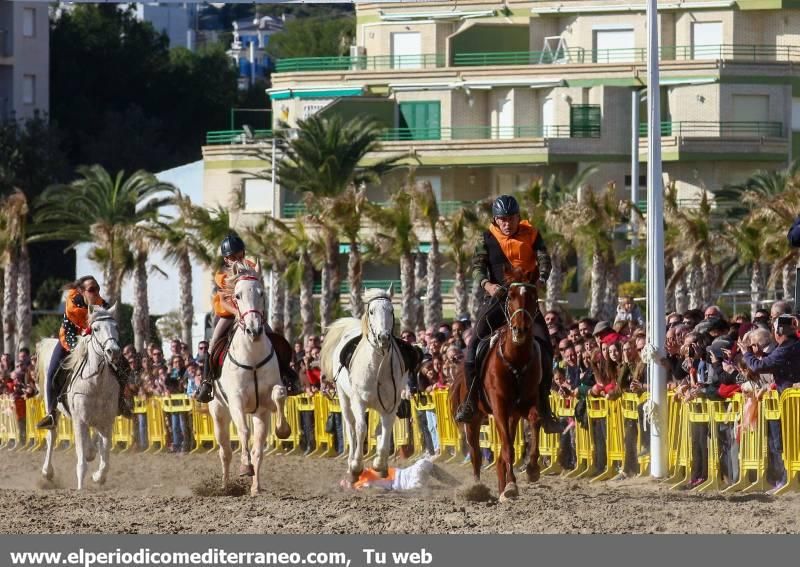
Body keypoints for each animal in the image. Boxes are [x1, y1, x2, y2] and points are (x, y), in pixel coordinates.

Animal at [37, 306, 122, 488]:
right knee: (52, 435)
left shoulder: (106, 422)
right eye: (96, 329)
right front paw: (80, 488)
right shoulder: (79, 421)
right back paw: (47, 472)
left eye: (116, 326)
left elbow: (105, 463)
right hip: (51, 408)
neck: (96, 383)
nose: (113, 351)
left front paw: (98, 477)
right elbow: (82, 463)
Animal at [208, 262, 292, 496]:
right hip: (219, 413)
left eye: (262, 293)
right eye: (237, 295)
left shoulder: (265, 404)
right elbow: (243, 431)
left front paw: (283, 429)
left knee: (257, 450)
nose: (254, 330)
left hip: (259, 415)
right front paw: (245, 468)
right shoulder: (236, 400)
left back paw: (255, 487)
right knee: (225, 451)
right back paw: (225, 486)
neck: (252, 354)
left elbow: (279, 394)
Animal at [318, 288, 410, 484]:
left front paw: (380, 465)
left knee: (377, 429)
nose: (383, 337)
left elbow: (386, 430)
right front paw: (356, 468)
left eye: (391, 310)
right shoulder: (359, 402)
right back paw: (351, 462)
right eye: (372, 311)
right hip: (344, 398)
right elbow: (361, 430)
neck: (377, 367)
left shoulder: (391, 405)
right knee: (351, 427)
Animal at [450, 268, 544, 500]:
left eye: (533, 296)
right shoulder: (500, 406)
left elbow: (535, 421)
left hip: (512, 415)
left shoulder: (525, 404)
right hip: (473, 419)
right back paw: (477, 488)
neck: (516, 360)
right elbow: (508, 447)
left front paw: (532, 469)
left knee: (501, 449)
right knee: (476, 454)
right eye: (510, 296)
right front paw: (511, 486)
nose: (520, 329)